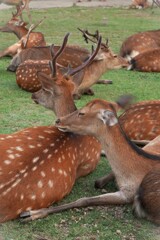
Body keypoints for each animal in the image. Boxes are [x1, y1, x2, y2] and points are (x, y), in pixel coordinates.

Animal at [20, 98, 160, 224]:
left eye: (82, 113)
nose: (58, 120)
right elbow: (92, 189)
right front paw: (31, 213)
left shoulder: (127, 196)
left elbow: (85, 199)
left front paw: (32, 213)